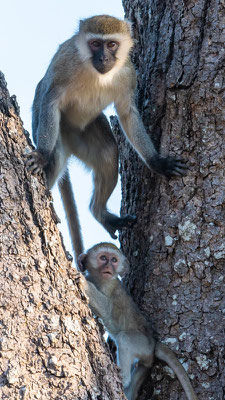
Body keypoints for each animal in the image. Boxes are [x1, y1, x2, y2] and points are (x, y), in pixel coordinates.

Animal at [26, 14, 188, 256]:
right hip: (50, 126)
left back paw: (99, 212)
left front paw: (157, 162)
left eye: (111, 44)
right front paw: (42, 155)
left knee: (108, 154)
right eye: (95, 44)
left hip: (85, 131)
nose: (103, 58)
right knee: (55, 157)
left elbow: (128, 115)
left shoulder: (128, 75)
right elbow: (51, 101)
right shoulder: (65, 65)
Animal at [76, 242, 198, 400]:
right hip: (145, 359)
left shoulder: (110, 287)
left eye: (114, 260)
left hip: (143, 345)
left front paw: (83, 281)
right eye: (103, 258)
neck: (100, 280)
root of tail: (153, 343)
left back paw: (123, 378)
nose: (108, 267)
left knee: (125, 338)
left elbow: (106, 310)